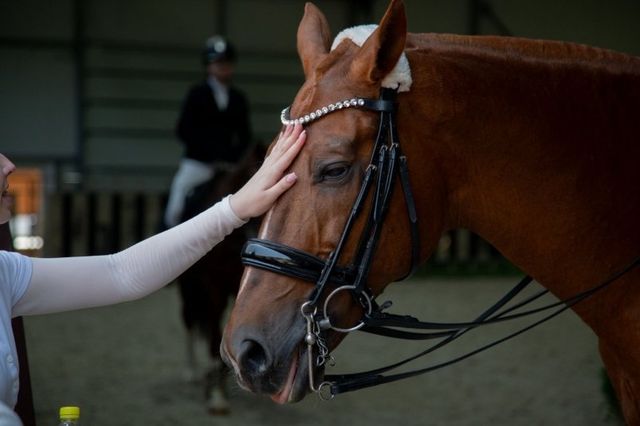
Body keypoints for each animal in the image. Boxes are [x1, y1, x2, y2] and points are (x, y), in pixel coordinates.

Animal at [175, 143, 264, 414]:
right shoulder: (213, 288)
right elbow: (214, 335)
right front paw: (216, 396)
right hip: (189, 286)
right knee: (189, 319)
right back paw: (191, 371)